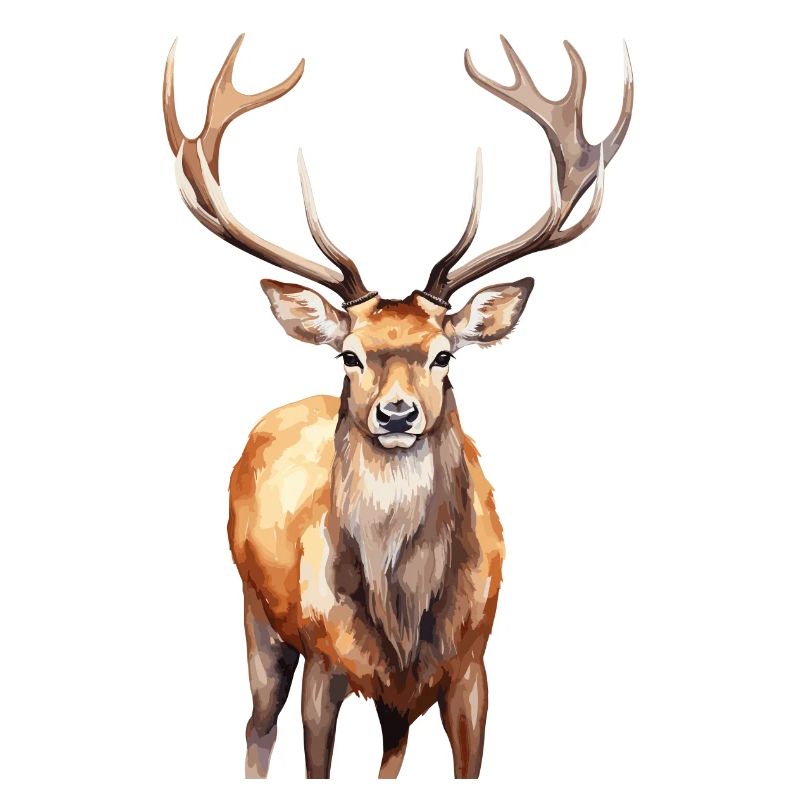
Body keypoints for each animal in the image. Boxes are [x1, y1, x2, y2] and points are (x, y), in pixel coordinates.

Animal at [163, 33, 632, 779]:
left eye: (445, 355)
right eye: (349, 355)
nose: (397, 414)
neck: (404, 619)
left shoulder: (472, 665)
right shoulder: (324, 661)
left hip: (392, 694)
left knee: (391, 749)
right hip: (256, 613)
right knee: (256, 726)